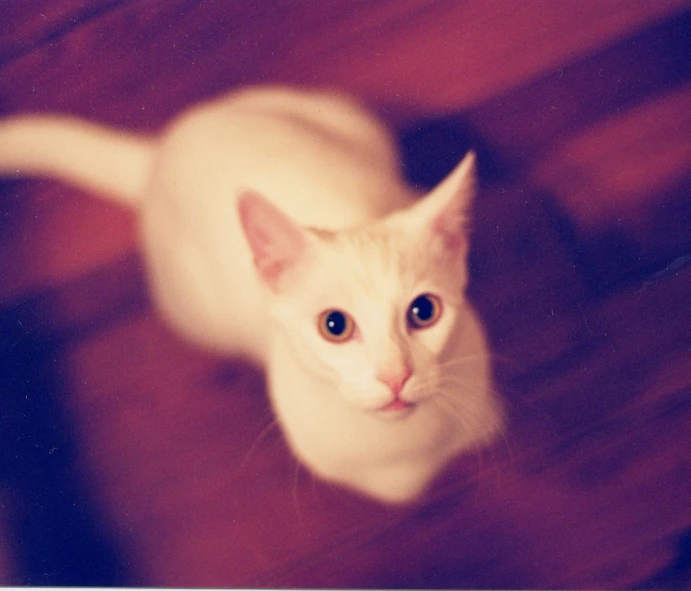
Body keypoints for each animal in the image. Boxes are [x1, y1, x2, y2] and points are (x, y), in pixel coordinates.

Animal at [1, 86, 508, 504]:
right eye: (335, 325)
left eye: (423, 311)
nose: (395, 376)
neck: (407, 450)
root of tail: (164, 150)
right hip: (193, 311)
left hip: (342, 112)